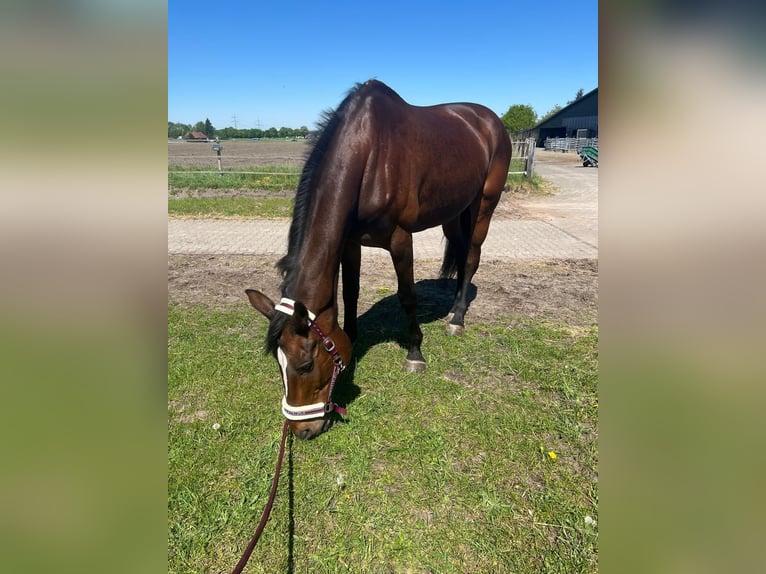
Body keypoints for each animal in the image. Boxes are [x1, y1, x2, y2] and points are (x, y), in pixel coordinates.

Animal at [246, 79, 511, 439]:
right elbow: (350, 292)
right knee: (459, 253)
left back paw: (457, 318)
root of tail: (489, 120)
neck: (369, 153)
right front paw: (353, 341)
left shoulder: (401, 238)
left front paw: (415, 353)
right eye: (278, 363)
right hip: (455, 210)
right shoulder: (350, 242)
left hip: (484, 204)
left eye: (305, 364)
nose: (302, 431)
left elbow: (407, 296)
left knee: (471, 257)